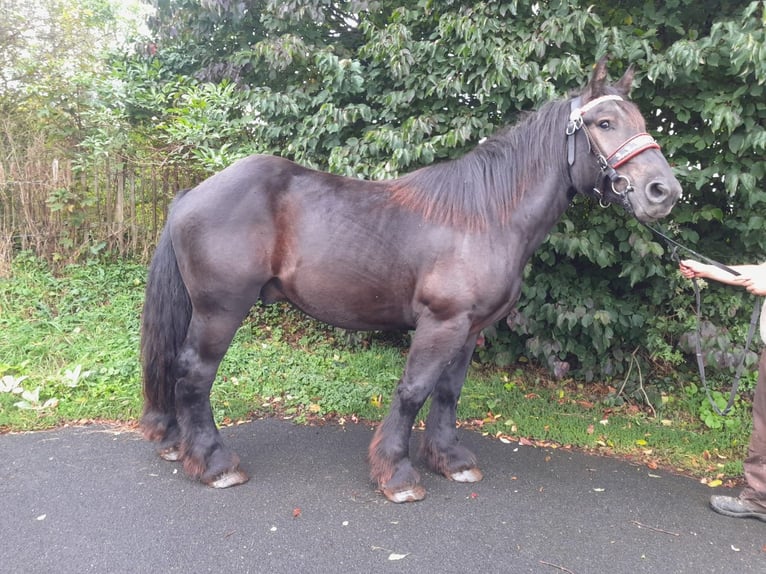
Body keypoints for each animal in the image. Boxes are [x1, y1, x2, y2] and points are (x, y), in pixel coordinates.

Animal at [141, 56, 680, 502]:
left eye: (642, 123)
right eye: (603, 123)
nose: (664, 191)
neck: (485, 216)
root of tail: (192, 194)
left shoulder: (470, 328)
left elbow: (448, 392)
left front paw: (449, 460)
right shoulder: (441, 323)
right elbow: (413, 390)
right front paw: (396, 473)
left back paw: (178, 444)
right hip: (221, 310)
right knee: (195, 373)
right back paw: (214, 463)